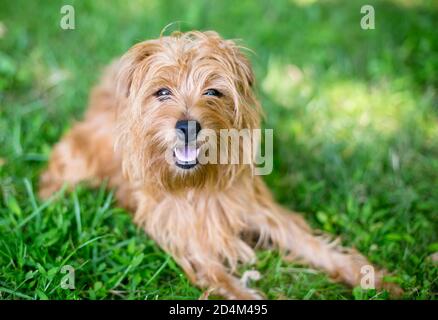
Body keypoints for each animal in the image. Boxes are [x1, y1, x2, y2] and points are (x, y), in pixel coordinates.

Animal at [39, 31, 402, 298]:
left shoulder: (260, 211)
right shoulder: (189, 241)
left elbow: (314, 245)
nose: (188, 125)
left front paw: (374, 279)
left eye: (213, 91)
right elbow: (224, 280)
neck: (197, 184)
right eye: (162, 92)